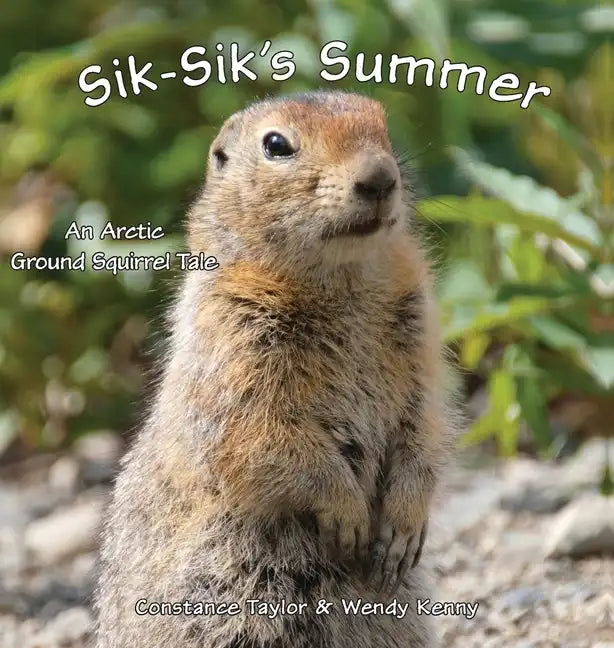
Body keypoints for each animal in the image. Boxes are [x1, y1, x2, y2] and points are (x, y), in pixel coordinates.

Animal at [95, 90, 454, 648]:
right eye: (276, 144)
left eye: (384, 125)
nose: (379, 177)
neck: (340, 278)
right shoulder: (235, 340)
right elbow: (264, 439)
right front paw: (348, 515)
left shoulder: (419, 338)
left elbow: (425, 425)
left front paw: (404, 524)